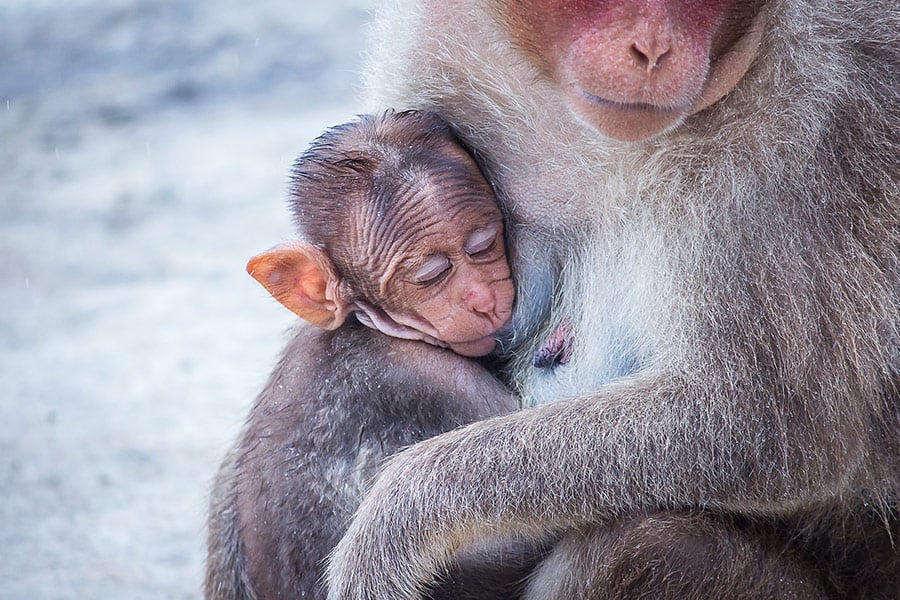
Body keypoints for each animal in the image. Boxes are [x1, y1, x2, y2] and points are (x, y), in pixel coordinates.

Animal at [308, 0, 897, 598]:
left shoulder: (806, 129)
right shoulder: (435, 45)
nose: (653, 49)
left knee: (640, 547)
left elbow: (762, 427)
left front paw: (393, 526)